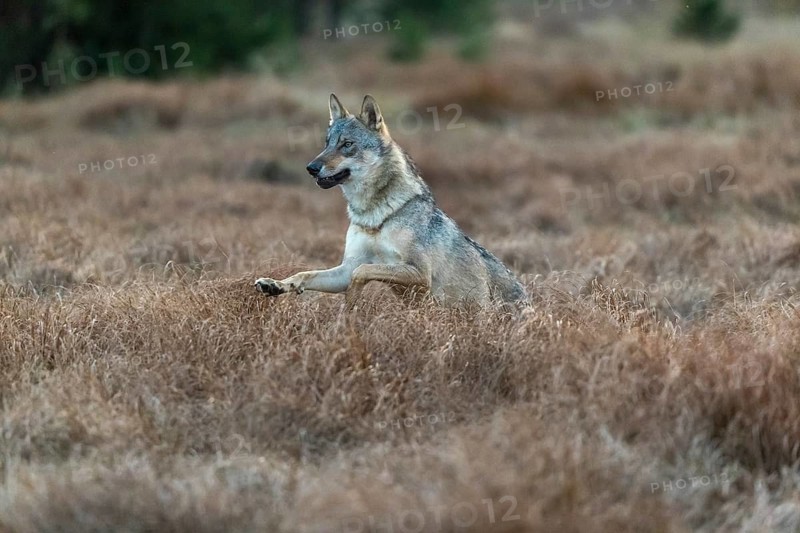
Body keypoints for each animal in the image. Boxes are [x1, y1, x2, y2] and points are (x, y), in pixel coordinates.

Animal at [255, 94, 527, 309]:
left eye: (347, 145)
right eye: (327, 144)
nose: (311, 168)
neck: (373, 215)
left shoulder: (419, 272)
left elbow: (361, 273)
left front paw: (350, 305)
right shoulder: (345, 269)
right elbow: (306, 273)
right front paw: (275, 284)